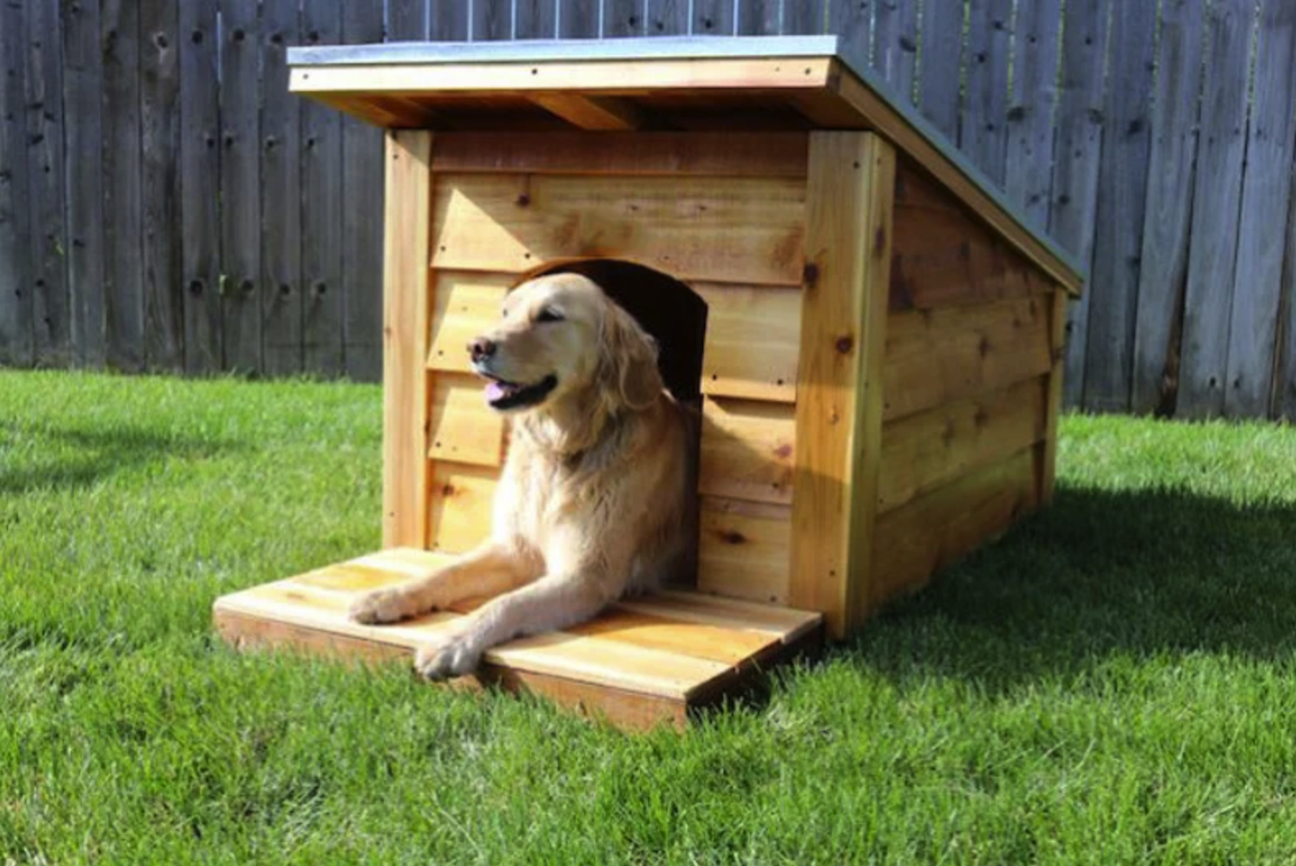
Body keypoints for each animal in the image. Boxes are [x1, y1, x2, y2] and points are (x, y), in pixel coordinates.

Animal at [342, 273, 689, 679]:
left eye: (550, 315)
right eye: (505, 312)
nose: (476, 346)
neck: (560, 449)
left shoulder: (587, 575)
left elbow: (506, 603)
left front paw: (451, 642)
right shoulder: (514, 546)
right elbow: (446, 572)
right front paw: (388, 595)